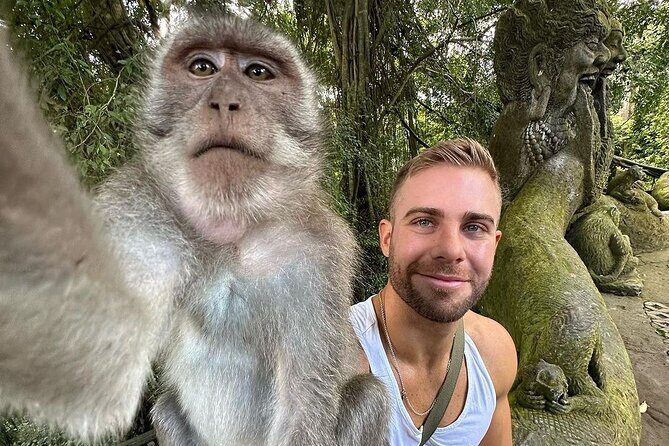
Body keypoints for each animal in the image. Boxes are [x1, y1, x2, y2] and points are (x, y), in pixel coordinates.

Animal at [0, 14, 389, 446]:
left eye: (258, 72)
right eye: (203, 67)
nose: (225, 102)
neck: (231, 233)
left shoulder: (319, 258)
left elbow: (303, 407)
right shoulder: (137, 214)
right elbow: (97, 375)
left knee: (369, 396)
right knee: (166, 409)